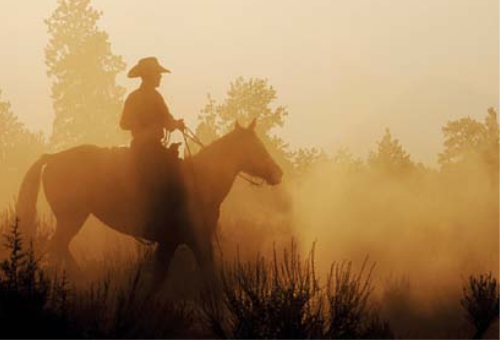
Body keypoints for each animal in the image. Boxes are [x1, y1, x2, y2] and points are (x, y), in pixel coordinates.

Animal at [16, 118, 282, 282]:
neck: (202, 179)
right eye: (257, 147)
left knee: (59, 247)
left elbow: (159, 278)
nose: (277, 172)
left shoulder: (172, 242)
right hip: (71, 218)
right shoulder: (193, 240)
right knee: (56, 247)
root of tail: (52, 158)